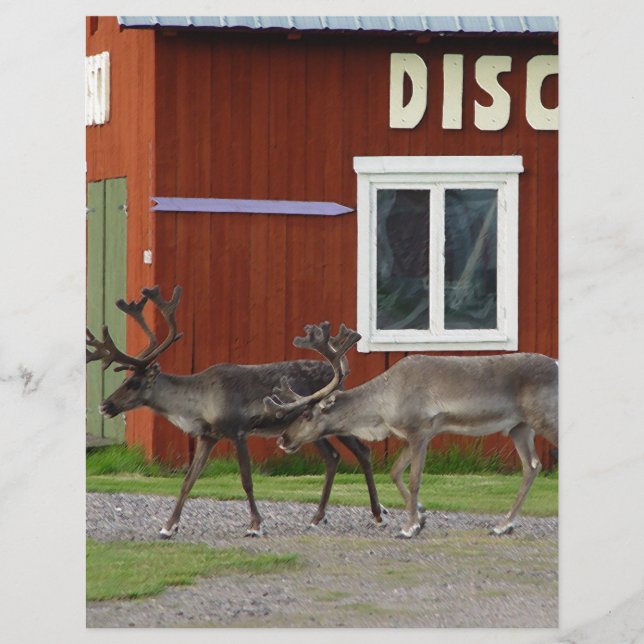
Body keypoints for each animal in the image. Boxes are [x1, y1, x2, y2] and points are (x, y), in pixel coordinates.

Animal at [86, 286, 387, 538]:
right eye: (124, 379)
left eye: (134, 384)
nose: (105, 405)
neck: (198, 404)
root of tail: (339, 374)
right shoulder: (208, 436)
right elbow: (187, 480)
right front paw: (168, 527)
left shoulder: (237, 430)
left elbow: (246, 480)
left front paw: (255, 525)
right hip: (308, 429)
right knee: (333, 457)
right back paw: (317, 516)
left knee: (362, 451)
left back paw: (377, 514)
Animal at [264, 322, 558, 538]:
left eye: (306, 414)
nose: (283, 439)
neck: (381, 409)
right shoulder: (409, 435)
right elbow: (395, 472)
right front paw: (421, 516)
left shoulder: (420, 430)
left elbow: (415, 478)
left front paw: (409, 527)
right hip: (520, 427)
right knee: (532, 465)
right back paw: (503, 525)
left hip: (545, 417)